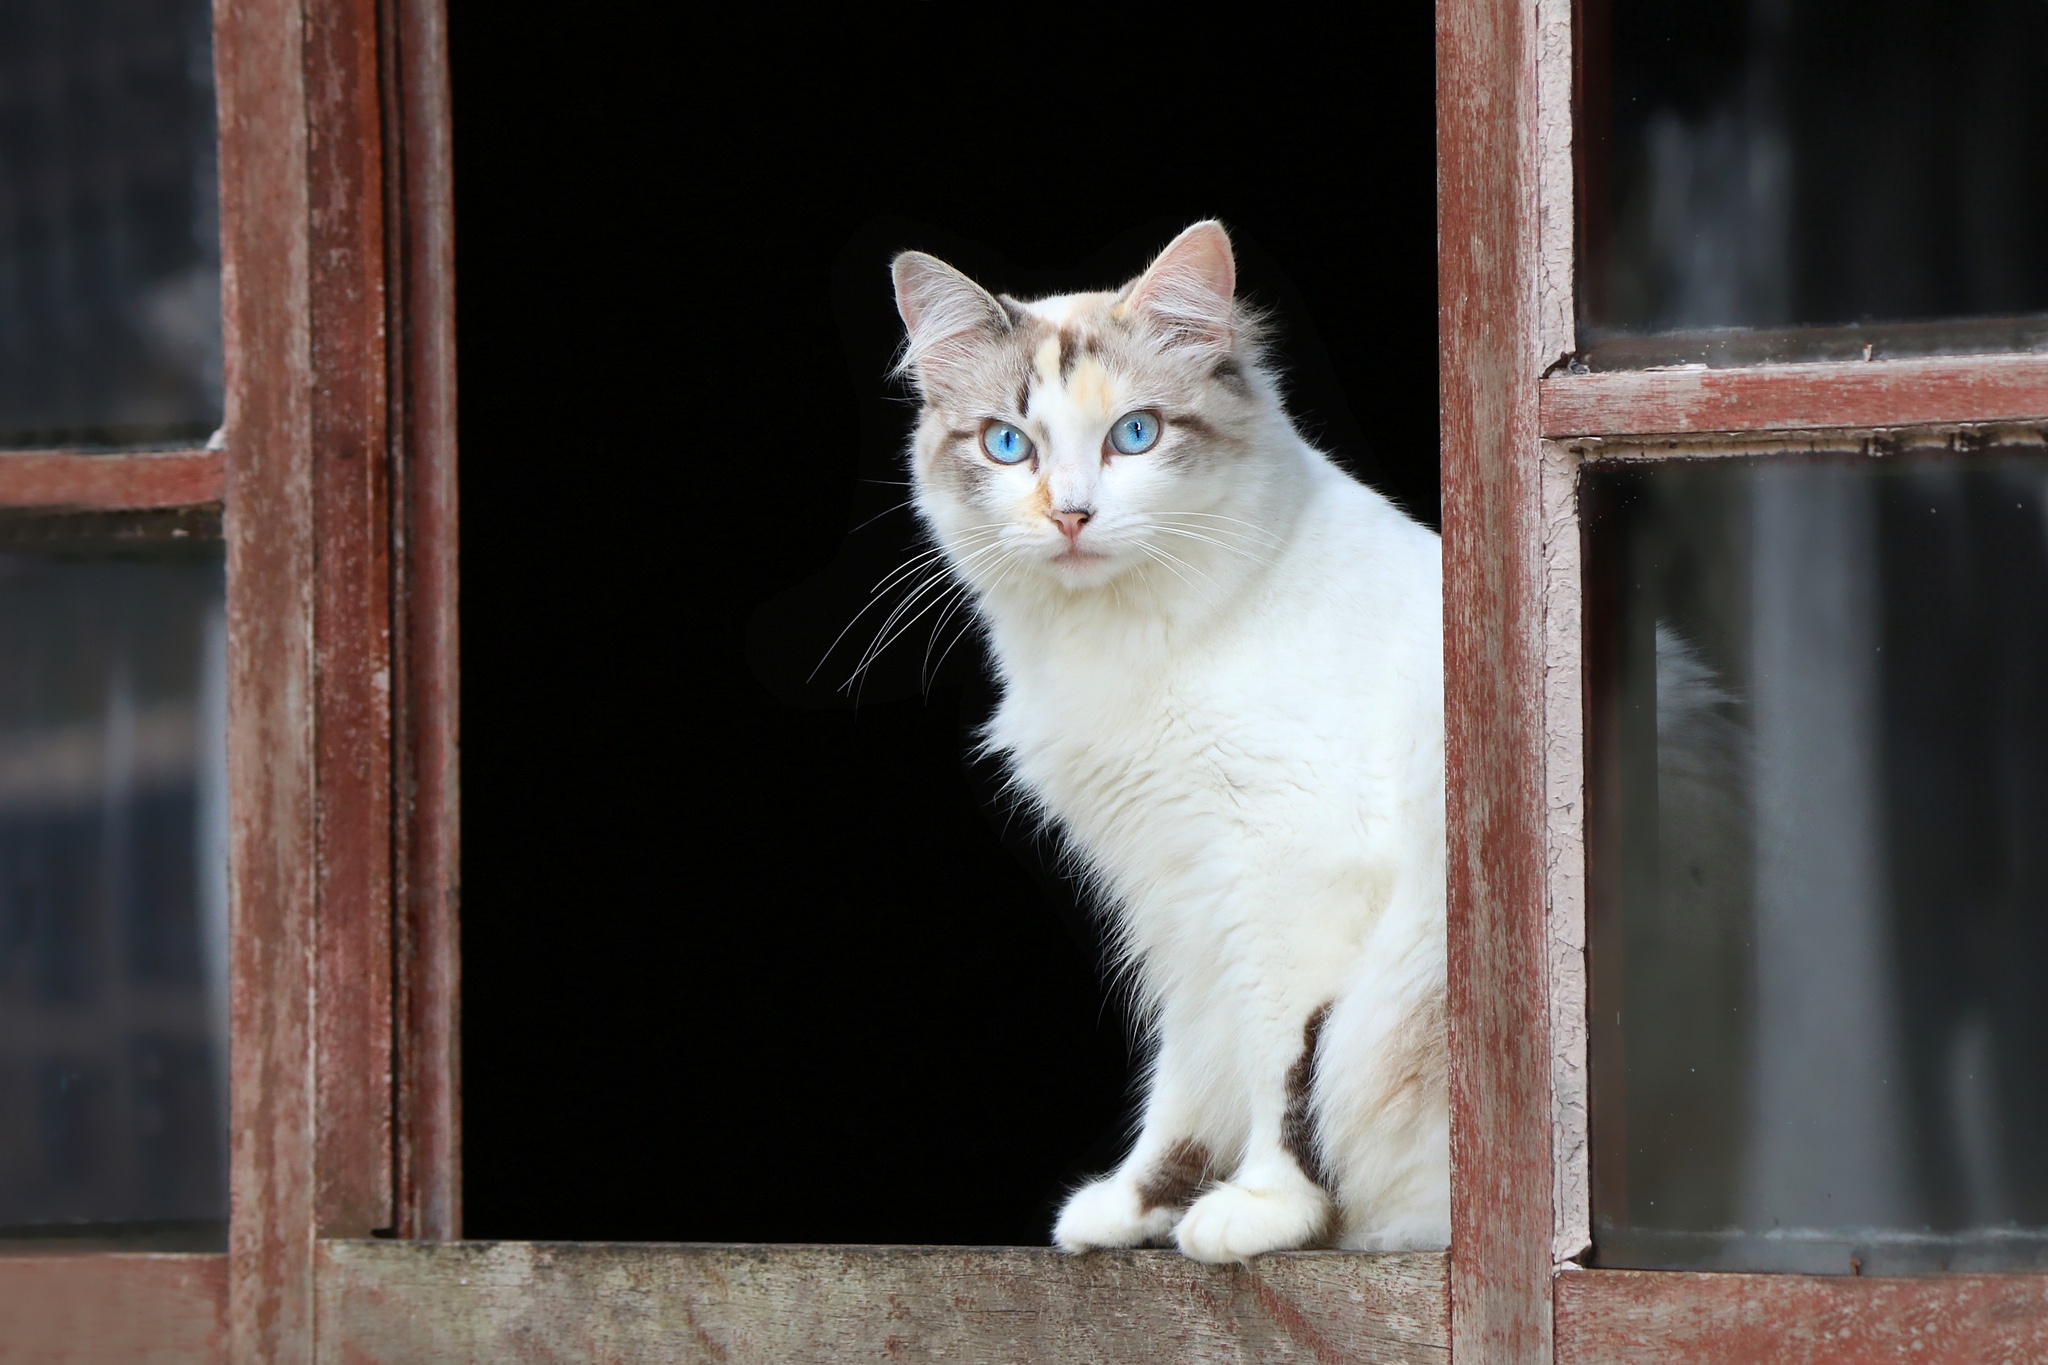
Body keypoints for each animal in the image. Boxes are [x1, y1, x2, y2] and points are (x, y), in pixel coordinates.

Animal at [888, 222, 1449, 1260]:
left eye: (1134, 435)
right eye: (1007, 444)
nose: (1070, 513)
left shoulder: (1288, 874)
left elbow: (1282, 1062)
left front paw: (1263, 1208)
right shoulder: (1176, 891)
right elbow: (1188, 1072)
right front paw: (1138, 1204)